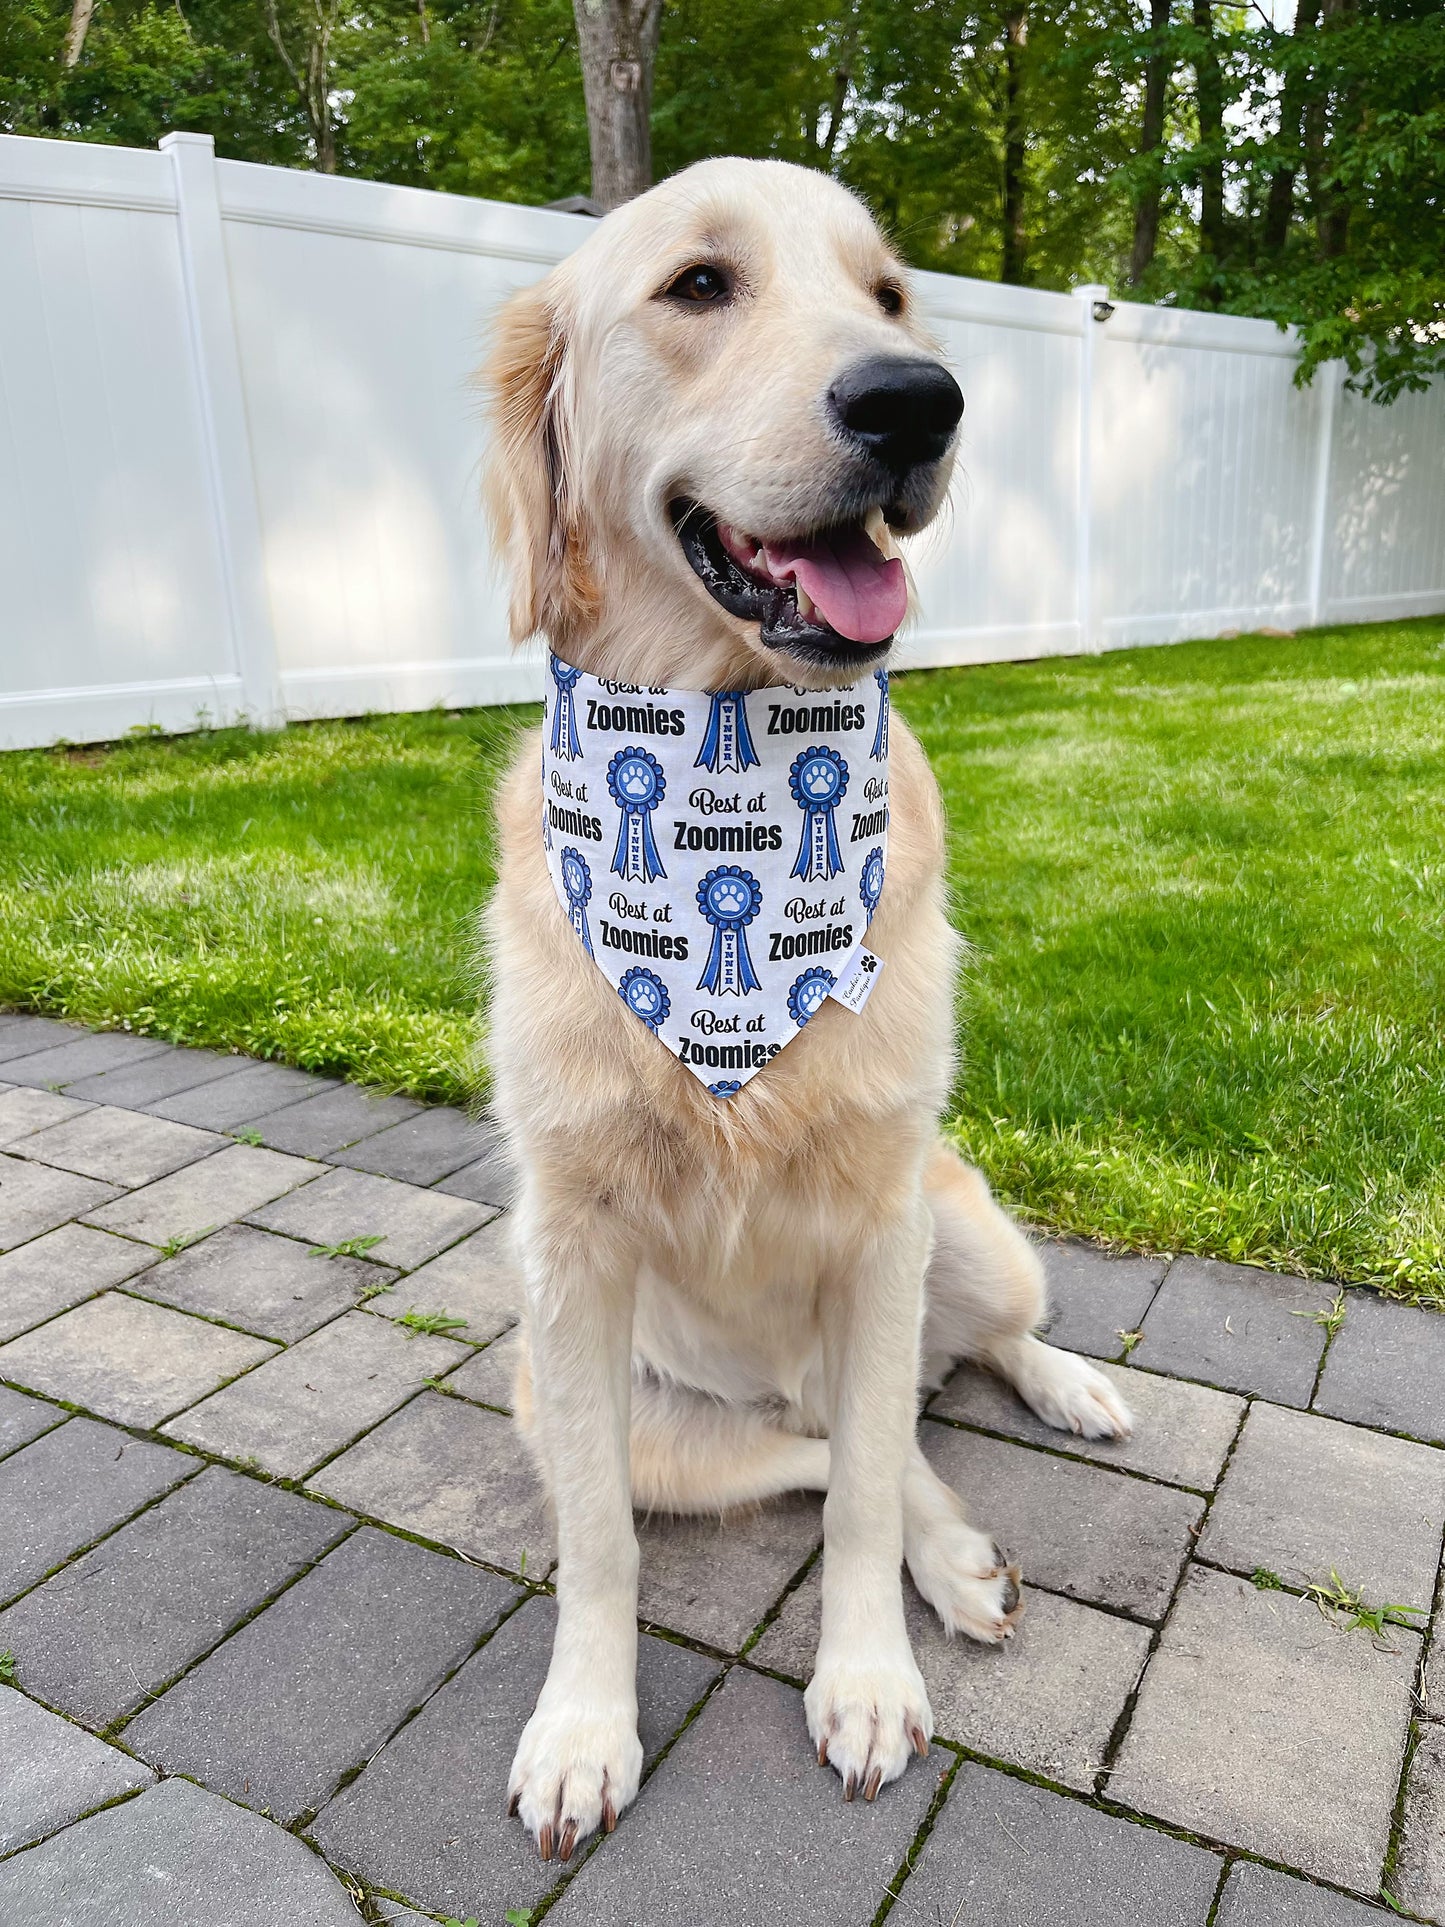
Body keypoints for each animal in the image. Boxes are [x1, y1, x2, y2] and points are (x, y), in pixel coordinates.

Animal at [481, 158, 1140, 1857]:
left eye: (889, 294)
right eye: (700, 285)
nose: (917, 401)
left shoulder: (879, 1210)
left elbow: (861, 1496)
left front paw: (862, 1678)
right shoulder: (569, 1255)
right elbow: (607, 1542)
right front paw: (582, 1728)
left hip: (956, 1228)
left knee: (944, 1377)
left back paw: (1066, 1394)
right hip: (596, 1397)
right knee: (832, 1438)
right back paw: (955, 1548)